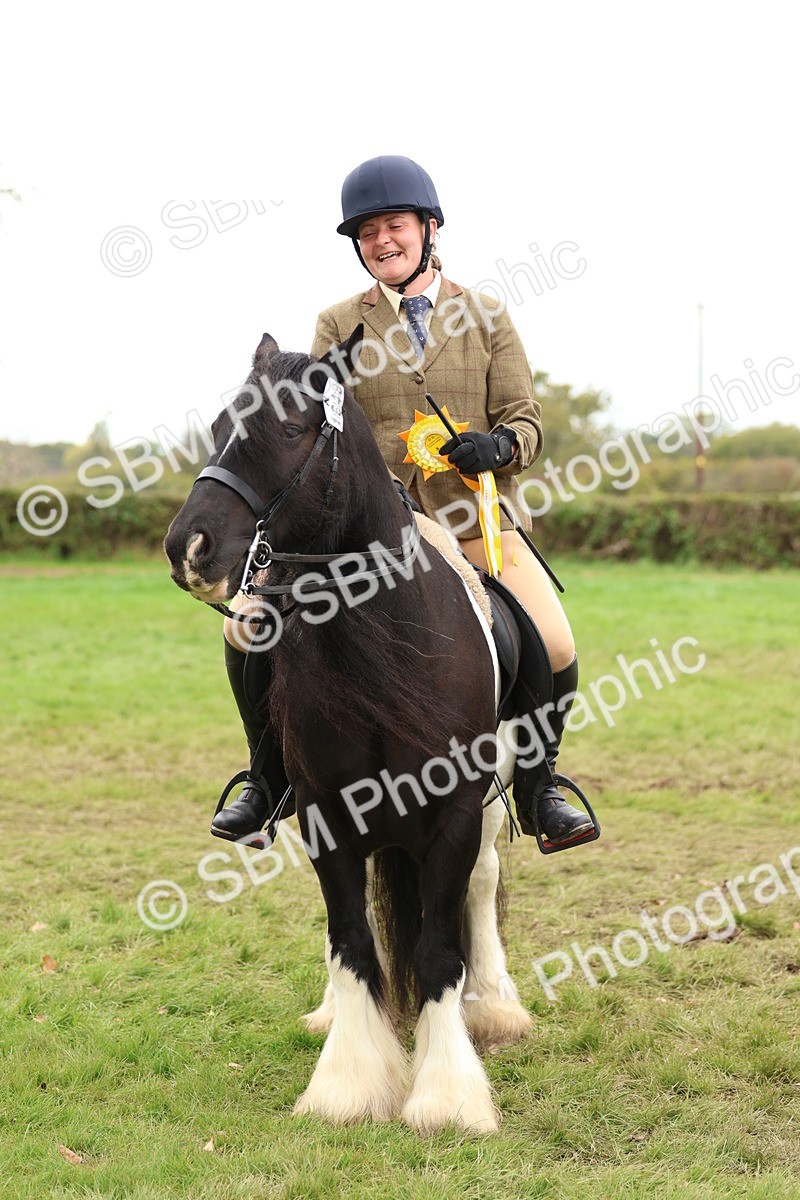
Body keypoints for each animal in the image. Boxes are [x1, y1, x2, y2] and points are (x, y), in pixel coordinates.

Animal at [163, 328, 534, 1134]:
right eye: (221, 425)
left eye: (290, 430)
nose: (189, 550)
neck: (381, 634)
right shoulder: (327, 811)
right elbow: (354, 941)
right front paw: (349, 1084)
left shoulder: (455, 813)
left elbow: (437, 949)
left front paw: (447, 1097)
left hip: (490, 807)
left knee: (483, 886)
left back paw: (494, 1008)